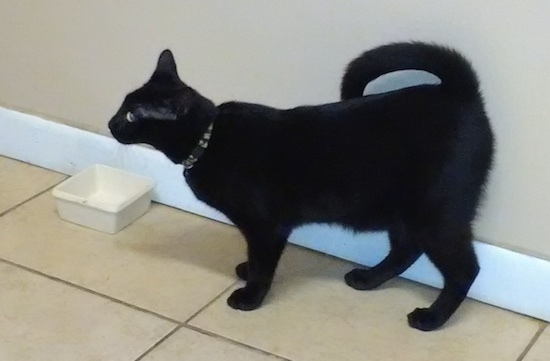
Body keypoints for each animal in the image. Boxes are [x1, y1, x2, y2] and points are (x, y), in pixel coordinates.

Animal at [109, 41, 496, 330]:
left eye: (132, 115)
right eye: (122, 107)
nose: (111, 123)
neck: (210, 138)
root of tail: (459, 92)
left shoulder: (266, 227)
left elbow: (264, 264)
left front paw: (250, 296)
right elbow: (255, 258)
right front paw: (246, 271)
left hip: (435, 212)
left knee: (465, 269)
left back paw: (432, 318)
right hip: (401, 210)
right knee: (406, 250)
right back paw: (368, 279)